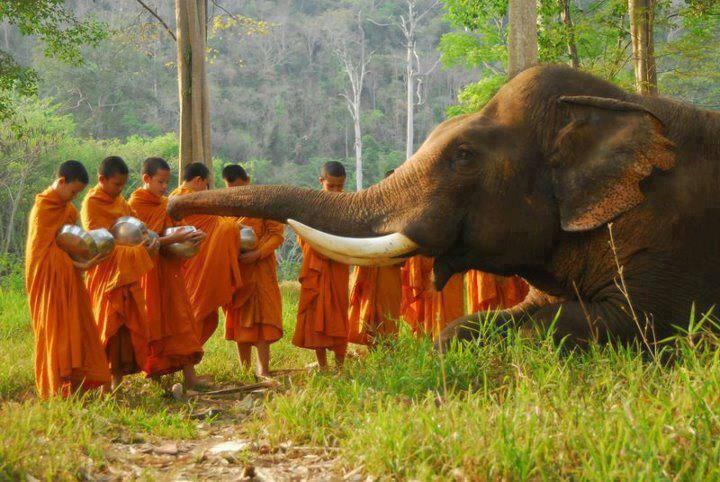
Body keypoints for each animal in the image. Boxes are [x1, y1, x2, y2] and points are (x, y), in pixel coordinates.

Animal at [170, 66, 720, 348]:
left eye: (463, 156)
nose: (176, 209)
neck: (619, 103)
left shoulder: (669, 236)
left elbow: (632, 323)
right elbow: (493, 318)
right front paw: (444, 349)